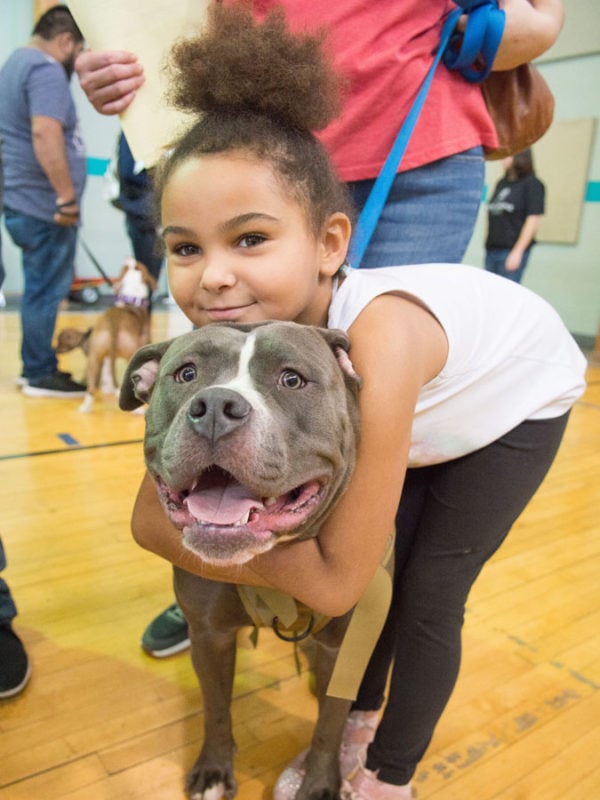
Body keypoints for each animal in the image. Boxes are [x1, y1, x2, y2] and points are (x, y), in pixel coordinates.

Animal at [119, 322, 358, 800]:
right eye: (186, 373)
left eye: (292, 379)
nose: (214, 407)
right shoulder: (210, 636)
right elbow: (215, 708)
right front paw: (214, 769)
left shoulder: (341, 646)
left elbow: (330, 724)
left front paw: (320, 783)